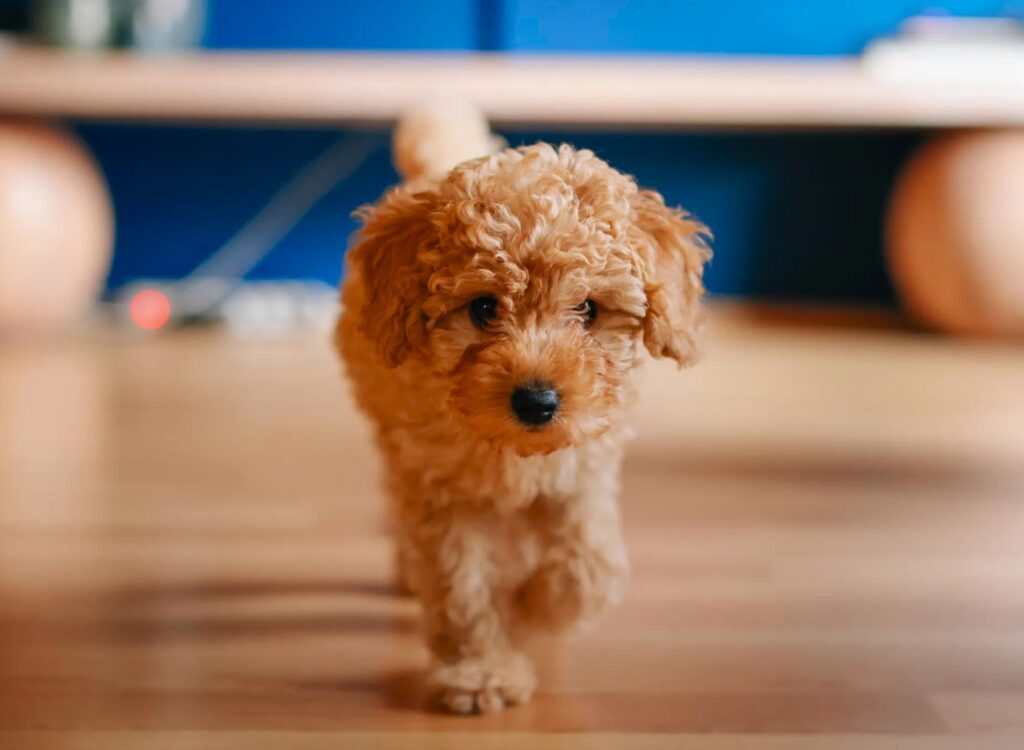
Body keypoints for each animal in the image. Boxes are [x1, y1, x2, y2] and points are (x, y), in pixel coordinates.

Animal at [335, 105, 712, 713]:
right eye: (484, 308)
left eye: (589, 310)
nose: (537, 401)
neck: (515, 451)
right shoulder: (440, 489)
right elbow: (461, 585)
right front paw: (481, 671)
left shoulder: (583, 472)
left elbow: (590, 566)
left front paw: (533, 611)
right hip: (392, 441)